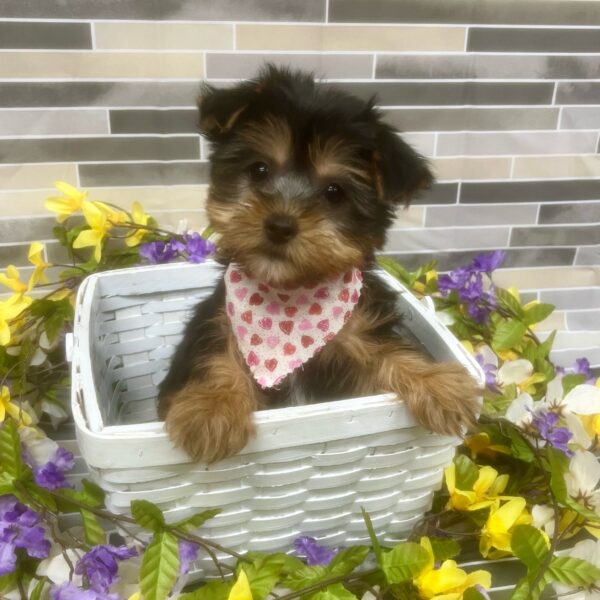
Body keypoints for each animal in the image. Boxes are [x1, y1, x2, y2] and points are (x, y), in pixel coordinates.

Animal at [157, 65, 480, 462]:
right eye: (259, 169)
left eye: (334, 192)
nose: (280, 225)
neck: (290, 294)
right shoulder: (219, 318)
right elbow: (217, 352)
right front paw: (211, 407)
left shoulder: (356, 340)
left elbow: (388, 351)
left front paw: (438, 383)